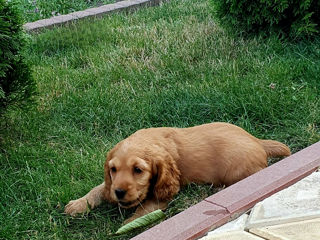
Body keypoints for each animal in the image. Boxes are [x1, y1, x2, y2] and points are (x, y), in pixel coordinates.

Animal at [64, 123, 290, 222]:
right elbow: (100, 187)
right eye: (113, 169)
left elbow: (141, 213)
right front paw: (78, 204)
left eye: (138, 170)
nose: (119, 193)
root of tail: (257, 140)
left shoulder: (162, 196)